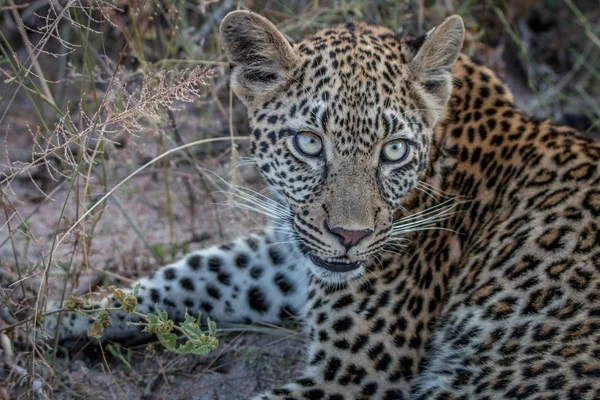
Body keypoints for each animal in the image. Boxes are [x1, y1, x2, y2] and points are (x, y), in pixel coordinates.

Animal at [45, 9, 600, 400]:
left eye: (394, 150)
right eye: (310, 143)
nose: (351, 237)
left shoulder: (356, 372)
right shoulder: (292, 249)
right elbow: (197, 271)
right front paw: (60, 316)